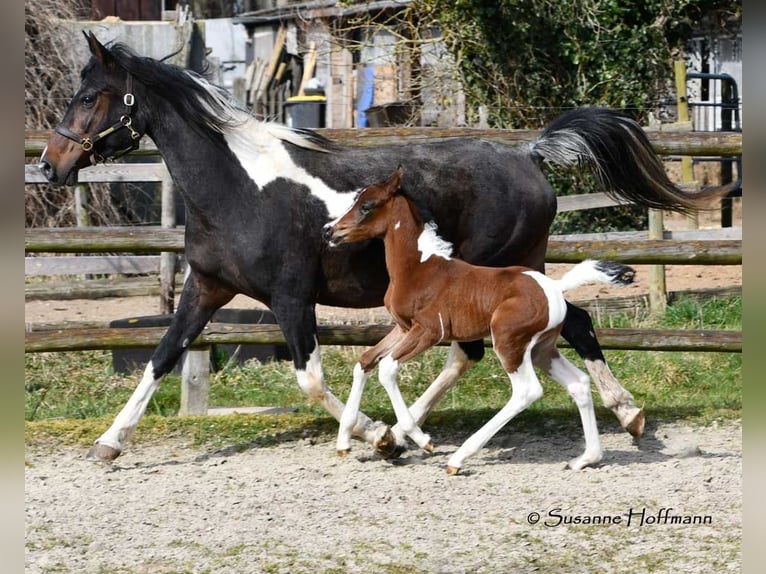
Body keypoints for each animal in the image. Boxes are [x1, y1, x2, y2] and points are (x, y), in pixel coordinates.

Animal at [324, 167, 636, 474]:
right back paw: (586, 458)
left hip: (508, 342)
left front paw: (421, 439)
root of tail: (554, 287)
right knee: (579, 383)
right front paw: (344, 442)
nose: (330, 231)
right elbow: (365, 361)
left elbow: (387, 368)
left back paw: (458, 458)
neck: (418, 267)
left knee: (527, 391)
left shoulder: (429, 331)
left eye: (366, 206)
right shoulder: (403, 328)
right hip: (541, 349)